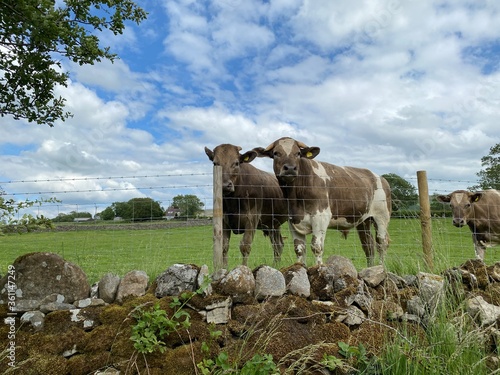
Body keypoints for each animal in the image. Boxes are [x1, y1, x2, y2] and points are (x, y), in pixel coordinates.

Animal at [254, 138, 390, 268]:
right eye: (276, 153)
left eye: (298, 153)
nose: (290, 168)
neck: (296, 197)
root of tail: (380, 178)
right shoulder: (293, 221)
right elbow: (299, 249)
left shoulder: (321, 217)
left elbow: (316, 247)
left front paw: (319, 269)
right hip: (364, 221)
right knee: (368, 245)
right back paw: (371, 268)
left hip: (381, 217)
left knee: (381, 243)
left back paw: (381, 267)